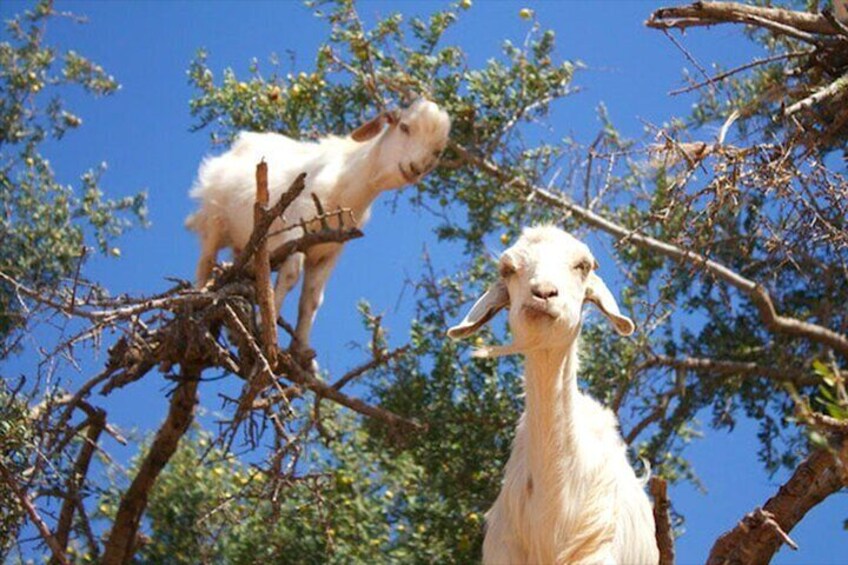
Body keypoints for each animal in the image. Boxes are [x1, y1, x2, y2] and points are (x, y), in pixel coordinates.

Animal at [186, 98, 450, 356]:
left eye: (437, 151)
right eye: (405, 127)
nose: (416, 168)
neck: (346, 182)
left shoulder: (328, 251)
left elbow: (313, 298)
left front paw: (302, 350)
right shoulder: (295, 231)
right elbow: (291, 276)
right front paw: (265, 326)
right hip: (214, 220)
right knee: (205, 263)